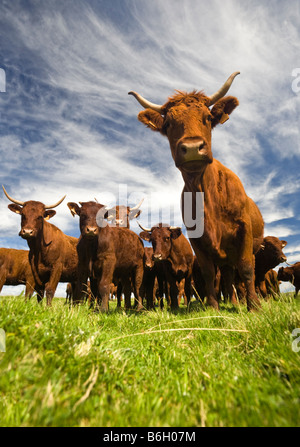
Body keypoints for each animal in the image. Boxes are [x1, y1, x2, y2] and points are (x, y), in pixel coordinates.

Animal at [130, 72, 264, 312]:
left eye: (208, 118)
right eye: (168, 124)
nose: (192, 148)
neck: (206, 195)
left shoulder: (244, 231)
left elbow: (247, 267)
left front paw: (255, 308)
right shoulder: (197, 239)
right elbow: (209, 272)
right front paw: (213, 308)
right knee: (226, 277)